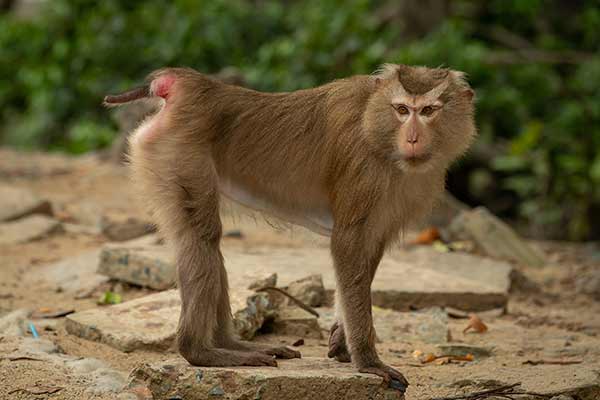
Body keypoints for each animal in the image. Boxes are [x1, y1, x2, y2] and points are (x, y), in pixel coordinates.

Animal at [104, 64, 478, 392]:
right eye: (402, 109)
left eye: (428, 110)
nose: (413, 138)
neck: (379, 134)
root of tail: (184, 83)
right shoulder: (362, 173)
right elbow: (347, 244)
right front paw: (367, 360)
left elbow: (368, 252)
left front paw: (341, 343)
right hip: (178, 153)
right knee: (202, 237)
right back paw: (201, 352)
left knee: (205, 239)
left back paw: (231, 343)